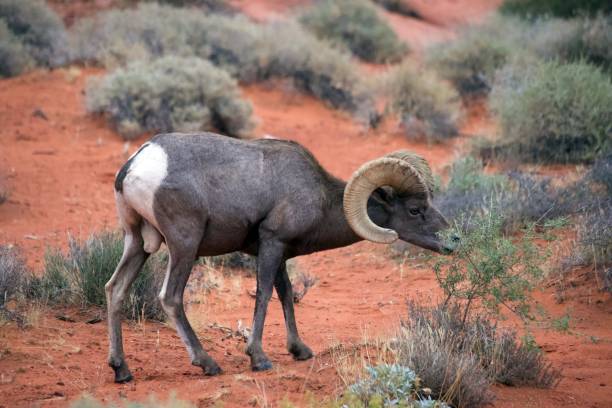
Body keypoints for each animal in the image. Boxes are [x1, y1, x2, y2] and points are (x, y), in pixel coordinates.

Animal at [107, 134, 456, 382]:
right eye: (415, 210)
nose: (453, 241)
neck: (320, 197)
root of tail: (135, 166)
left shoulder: (279, 253)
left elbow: (285, 294)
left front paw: (299, 350)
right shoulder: (272, 243)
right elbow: (263, 295)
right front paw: (259, 358)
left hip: (137, 244)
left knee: (115, 289)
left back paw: (121, 370)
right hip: (184, 246)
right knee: (170, 297)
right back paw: (208, 363)